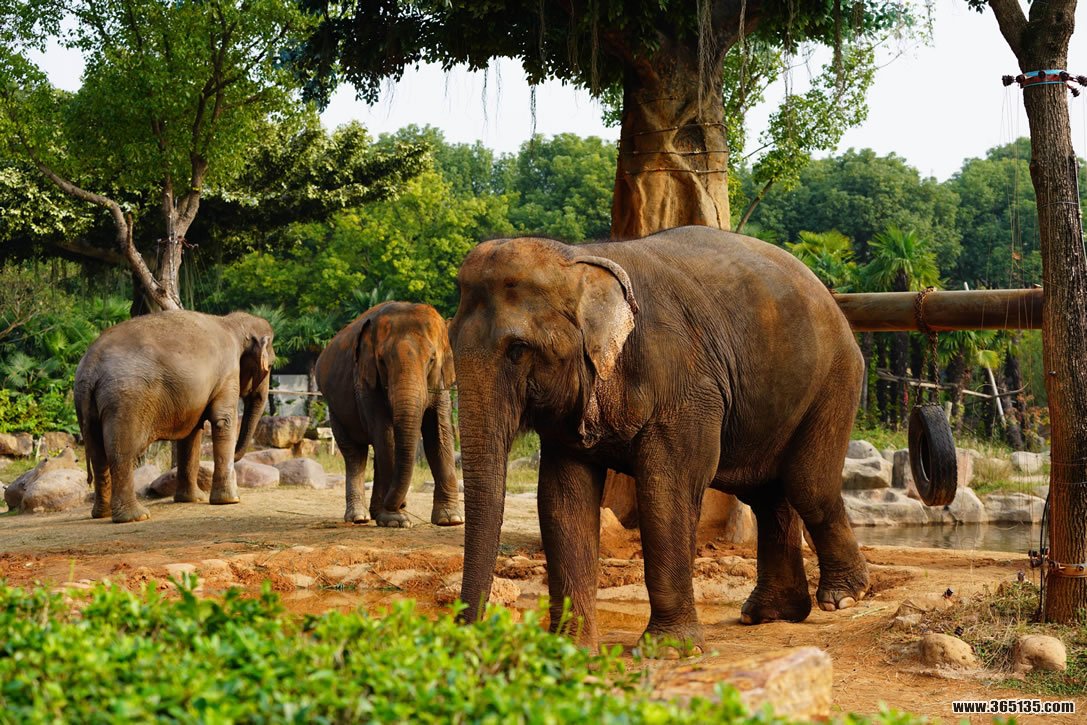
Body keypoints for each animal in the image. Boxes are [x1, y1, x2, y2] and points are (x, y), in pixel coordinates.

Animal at [74, 310, 274, 523]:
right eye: (270, 366)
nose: (237, 455)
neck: (232, 322)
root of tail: (90, 366)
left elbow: (192, 434)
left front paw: (193, 499)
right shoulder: (228, 373)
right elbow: (223, 420)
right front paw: (231, 500)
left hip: (86, 402)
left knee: (98, 455)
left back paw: (102, 514)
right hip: (124, 400)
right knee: (121, 452)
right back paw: (136, 516)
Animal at [315, 301, 463, 528]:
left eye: (431, 360)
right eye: (382, 361)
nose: (401, 504)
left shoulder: (440, 382)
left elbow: (439, 434)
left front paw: (450, 520)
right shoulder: (366, 382)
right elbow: (386, 434)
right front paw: (396, 520)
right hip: (335, 409)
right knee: (355, 453)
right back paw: (360, 517)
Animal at [450, 225, 869, 650]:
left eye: (518, 350)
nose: (465, 638)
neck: (578, 260)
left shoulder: (684, 386)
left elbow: (667, 487)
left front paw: (669, 651)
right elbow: (562, 500)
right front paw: (570, 650)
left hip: (834, 379)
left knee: (807, 485)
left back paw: (843, 598)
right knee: (765, 493)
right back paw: (770, 613)